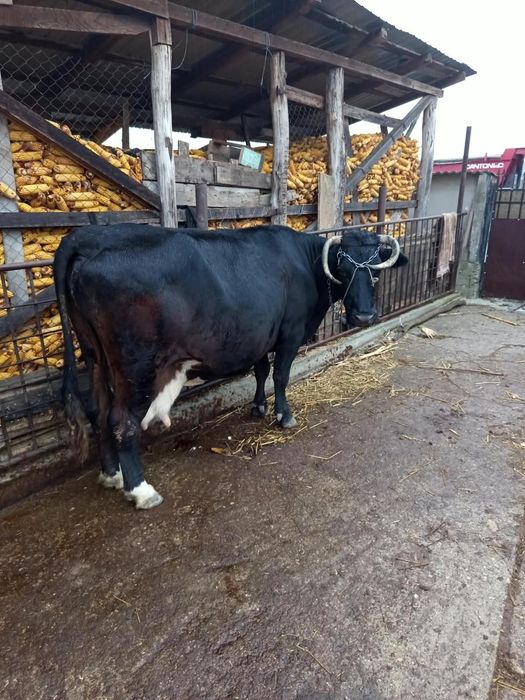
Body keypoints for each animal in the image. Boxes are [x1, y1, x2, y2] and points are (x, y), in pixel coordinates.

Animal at [54, 224, 408, 509]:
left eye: (376, 272)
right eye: (344, 270)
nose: (364, 316)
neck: (304, 263)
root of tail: (89, 236)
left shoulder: (262, 334)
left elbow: (262, 372)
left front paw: (258, 407)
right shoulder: (290, 333)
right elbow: (280, 375)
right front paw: (284, 415)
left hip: (95, 356)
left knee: (99, 413)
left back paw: (111, 475)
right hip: (136, 366)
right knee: (122, 421)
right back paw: (140, 490)